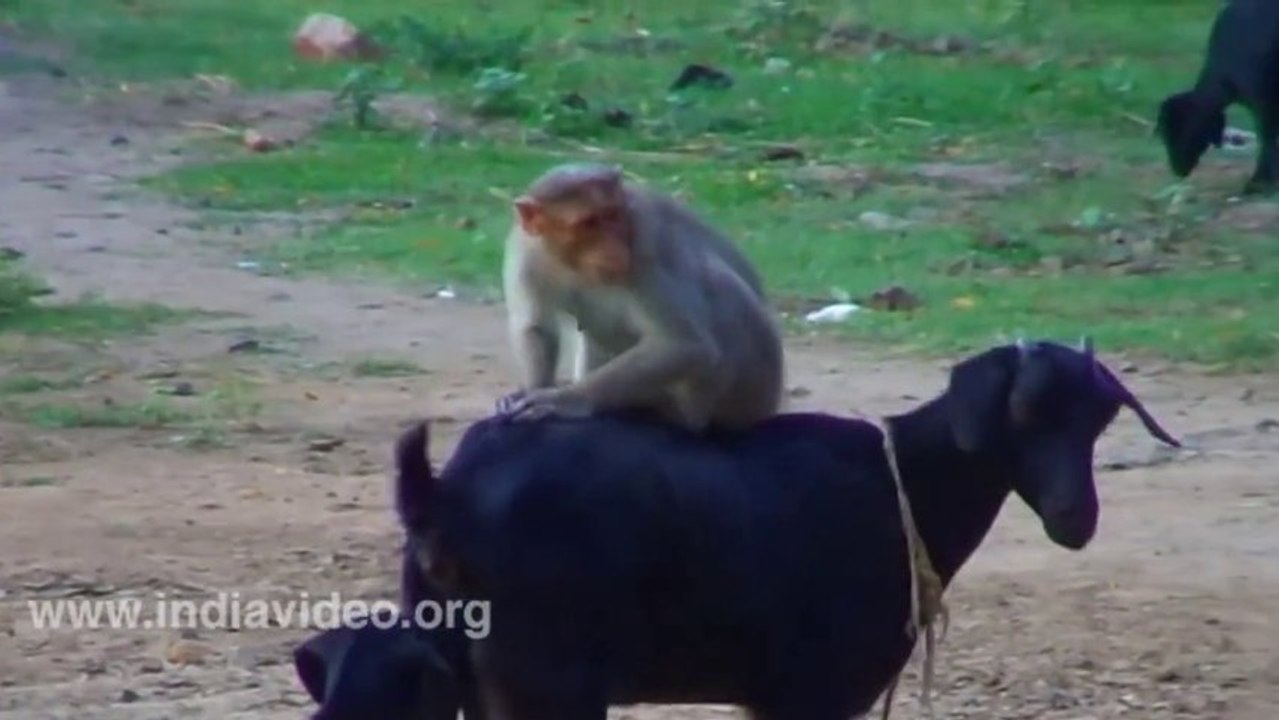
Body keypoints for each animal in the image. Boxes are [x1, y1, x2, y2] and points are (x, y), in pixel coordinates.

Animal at [296, 338, 1181, 720]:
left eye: (1101, 419)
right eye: (1024, 411)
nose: (1075, 516)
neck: (904, 485)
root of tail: (443, 492)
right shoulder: (815, 693)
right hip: (548, 681)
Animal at [496, 162, 784, 433]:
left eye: (613, 214)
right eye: (589, 222)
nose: (613, 246)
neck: (572, 263)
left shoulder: (645, 248)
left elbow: (684, 343)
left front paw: (566, 399)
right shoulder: (524, 249)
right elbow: (535, 326)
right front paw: (533, 388)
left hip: (748, 390)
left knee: (713, 280)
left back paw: (673, 412)